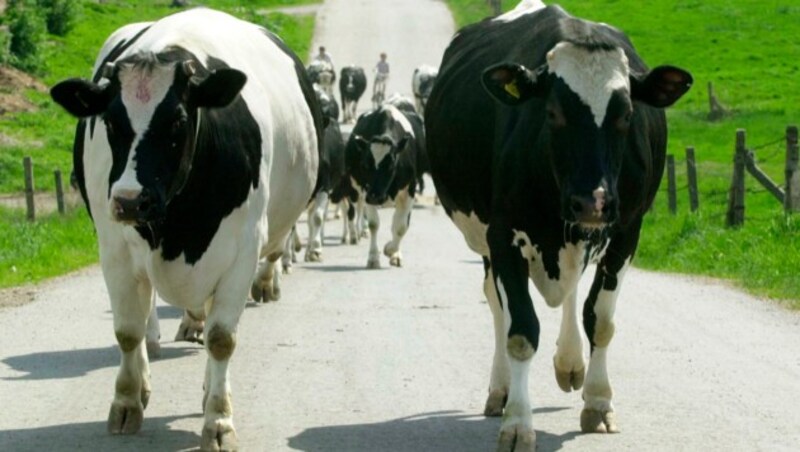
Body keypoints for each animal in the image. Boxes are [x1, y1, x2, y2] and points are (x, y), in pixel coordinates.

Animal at [47, 8, 318, 450]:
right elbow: (127, 331)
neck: (180, 225)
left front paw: (218, 420)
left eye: (177, 120)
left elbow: (222, 338)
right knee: (144, 322)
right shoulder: (115, 250)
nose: (129, 200)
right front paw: (126, 402)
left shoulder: (242, 252)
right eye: (110, 121)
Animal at [346, 93, 428, 266]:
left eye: (391, 165)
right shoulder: (367, 189)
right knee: (359, 208)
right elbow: (374, 224)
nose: (375, 197)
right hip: (358, 189)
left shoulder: (409, 190)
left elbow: (401, 226)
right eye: (365, 164)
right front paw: (373, 257)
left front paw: (393, 252)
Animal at [422, 1, 692, 450]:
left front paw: (598, 401)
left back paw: (570, 363)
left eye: (626, 115)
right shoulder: (503, 235)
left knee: (571, 293)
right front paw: (517, 422)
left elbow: (600, 319)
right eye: (552, 113)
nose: (592, 200)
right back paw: (501, 390)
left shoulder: (626, 232)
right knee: (496, 305)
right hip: (486, 241)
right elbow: (519, 331)